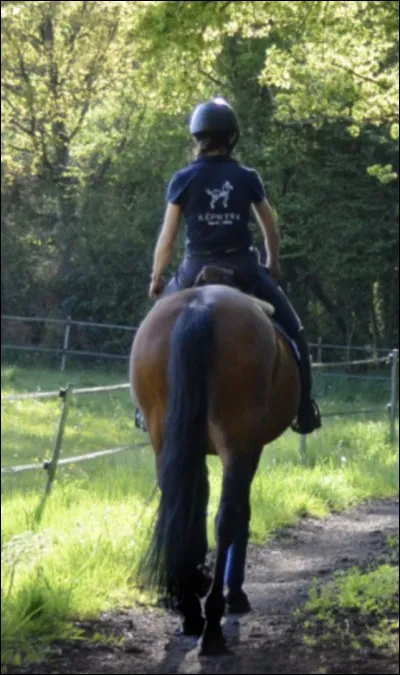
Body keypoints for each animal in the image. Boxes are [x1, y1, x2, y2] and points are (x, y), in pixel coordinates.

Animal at [129, 280, 300, 655]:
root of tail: (201, 306)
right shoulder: (250, 448)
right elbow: (241, 513)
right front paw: (234, 594)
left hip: (167, 441)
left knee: (181, 507)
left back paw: (191, 611)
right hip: (236, 443)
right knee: (227, 518)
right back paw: (213, 624)